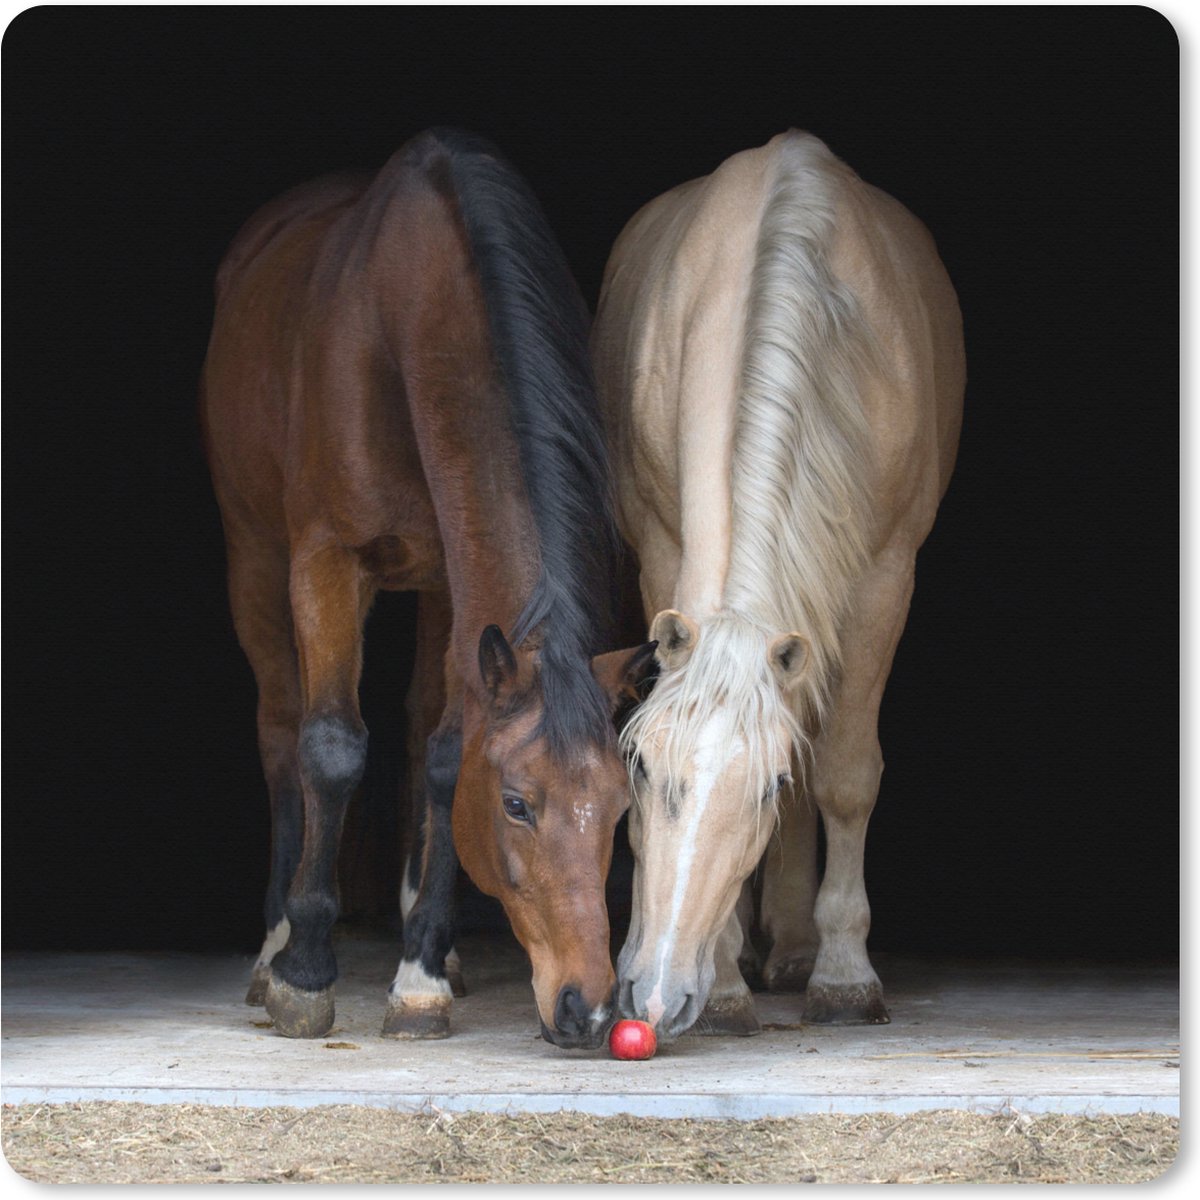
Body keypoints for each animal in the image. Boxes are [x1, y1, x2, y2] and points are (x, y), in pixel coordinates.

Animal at [200, 128, 656, 1048]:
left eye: (620, 808)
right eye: (516, 804)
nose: (589, 1008)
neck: (404, 328)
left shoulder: (457, 582)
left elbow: (445, 757)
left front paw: (420, 973)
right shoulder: (326, 560)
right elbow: (331, 746)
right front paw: (306, 970)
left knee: (416, 731)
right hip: (254, 556)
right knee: (280, 728)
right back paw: (273, 944)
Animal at [591, 130, 965, 1041]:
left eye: (764, 787)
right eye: (642, 769)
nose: (654, 996)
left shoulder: (883, 578)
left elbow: (843, 774)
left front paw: (843, 975)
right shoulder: (662, 552)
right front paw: (727, 983)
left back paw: (797, 952)